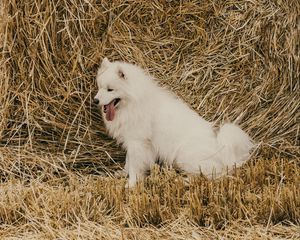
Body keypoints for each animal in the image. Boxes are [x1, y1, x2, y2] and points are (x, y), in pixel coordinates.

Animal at [94, 57, 253, 188]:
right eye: (99, 87)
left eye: (110, 89)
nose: (95, 100)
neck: (133, 103)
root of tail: (220, 149)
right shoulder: (132, 141)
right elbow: (129, 162)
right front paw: (122, 174)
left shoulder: (137, 142)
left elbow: (134, 165)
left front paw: (131, 184)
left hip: (184, 155)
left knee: (207, 176)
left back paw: (180, 180)